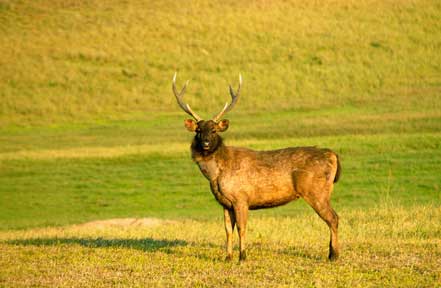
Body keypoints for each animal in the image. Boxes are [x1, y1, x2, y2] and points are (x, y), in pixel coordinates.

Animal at [172, 72, 340, 260]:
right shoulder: (225, 203)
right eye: (198, 130)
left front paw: (242, 256)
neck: (216, 175)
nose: (206, 143)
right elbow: (227, 230)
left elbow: (241, 228)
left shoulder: (241, 198)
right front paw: (227, 257)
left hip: (316, 191)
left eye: (214, 130)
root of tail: (333, 155)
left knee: (334, 218)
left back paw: (334, 255)